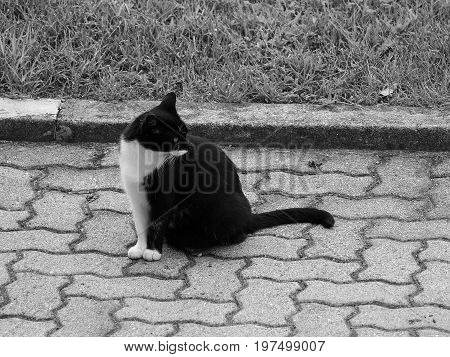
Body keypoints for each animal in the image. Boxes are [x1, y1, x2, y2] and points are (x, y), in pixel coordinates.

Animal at [119, 92, 334, 260]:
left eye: (184, 132)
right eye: (173, 140)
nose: (189, 146)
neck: (145, 158)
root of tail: (248, 216)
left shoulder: (166, 199)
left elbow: (157, 223)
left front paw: (153, 251)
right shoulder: (136, 199)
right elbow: (141, 224)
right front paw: (140, 248)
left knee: (237, 234)